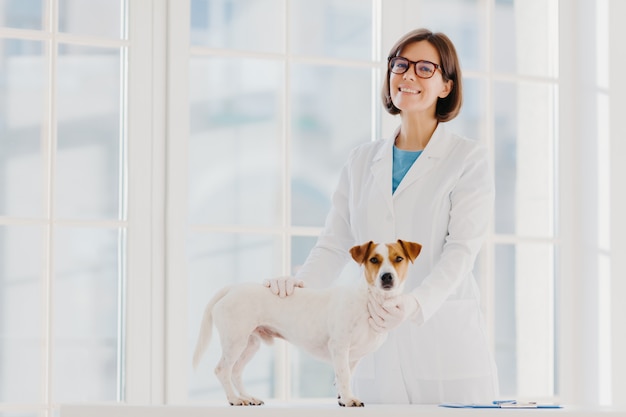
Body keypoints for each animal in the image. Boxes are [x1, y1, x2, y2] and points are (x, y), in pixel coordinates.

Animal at [193, 239, 422, 404]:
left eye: (398, 258)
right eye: (374, 260)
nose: (387, 277)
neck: (368, 299)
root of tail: (232, 288)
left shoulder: (353, 357)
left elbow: (345, 376)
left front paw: (343, 397)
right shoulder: (339, 347)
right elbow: (344, 375)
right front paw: (349, 400)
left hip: (250, 344)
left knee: (236, 371)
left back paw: (246, 397)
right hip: (235, 341)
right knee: (222, 370)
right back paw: (234, 399)